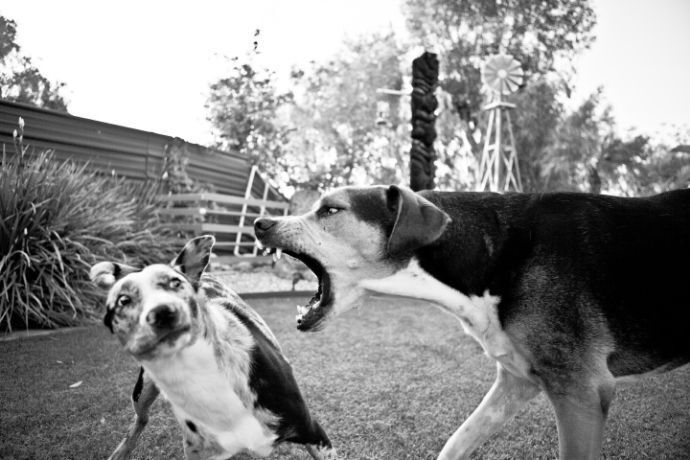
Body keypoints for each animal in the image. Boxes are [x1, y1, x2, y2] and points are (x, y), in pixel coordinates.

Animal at [88, 237, 334, 460]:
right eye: (123, 300)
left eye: (175, 283)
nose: (162, 312)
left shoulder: (313, 433)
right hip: (142, 390)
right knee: (140, 419)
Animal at [253, 186, 688, 460]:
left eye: (331, 209)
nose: (260, 223)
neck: (498, 251)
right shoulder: (517, 380)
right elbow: (456, 443)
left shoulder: (579, 391)